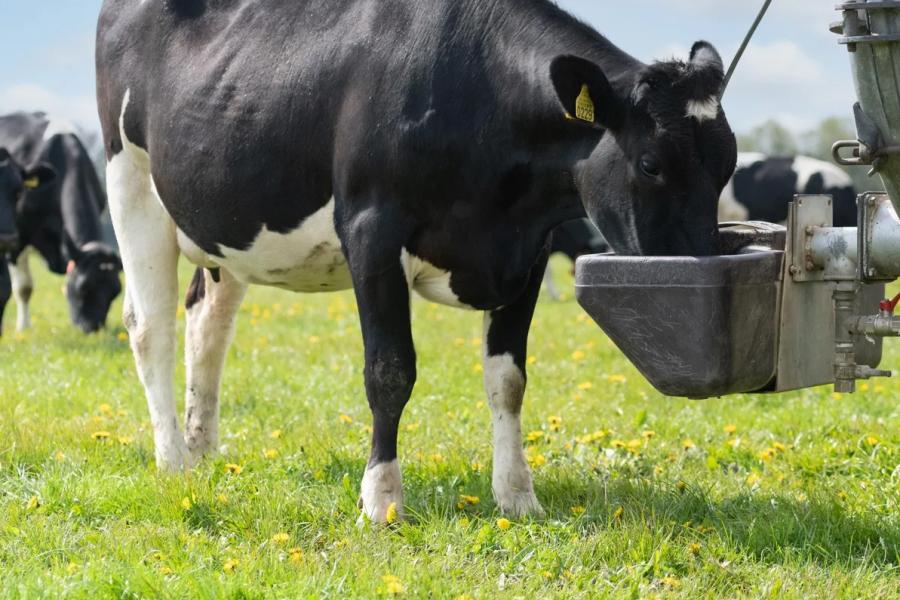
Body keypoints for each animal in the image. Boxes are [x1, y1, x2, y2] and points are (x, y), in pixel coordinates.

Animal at [95, 0, 736, 520]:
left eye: (728, 164)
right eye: (651, 164)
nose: (698, 267)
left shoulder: (526, 253)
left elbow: (509, 381)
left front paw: (518, 496)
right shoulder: (372, 229)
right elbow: (389, 371)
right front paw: (381, 499)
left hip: (226, 224)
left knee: (208, 323)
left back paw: (203, 449)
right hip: (131, 182)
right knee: (150, 328)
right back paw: (174, 461)